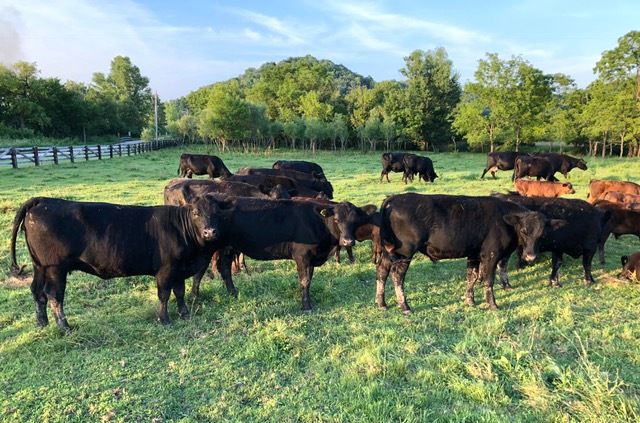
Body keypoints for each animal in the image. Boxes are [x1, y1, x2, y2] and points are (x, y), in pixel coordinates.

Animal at [10, 196, 229, 332]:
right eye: (195, 213)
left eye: (217, 213)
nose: (210, 232)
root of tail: (43, 200)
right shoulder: (166, 270)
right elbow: (164, 295)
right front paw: (164, 319)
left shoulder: (179, 269)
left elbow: (180, 292)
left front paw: (184, 313)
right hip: (55, 268)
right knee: (54, 295)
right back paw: (65, 327)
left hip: (39, 266)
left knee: (37, 292)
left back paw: (42, 323)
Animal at [195, 196, 378, 311]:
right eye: (337, 220)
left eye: (355, 221)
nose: (348, 242)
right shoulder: (302, 256)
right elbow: (304, 280)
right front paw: (306, 306)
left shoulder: (311, 258)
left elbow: (309, 279)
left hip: (229, 247)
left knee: (225, 269)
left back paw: (233, 294)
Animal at [376, 193, 551, 313]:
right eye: (523, 231)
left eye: (542, 234)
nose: (531, 256)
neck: (504, 219)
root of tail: (395, 198)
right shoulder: (491, 255)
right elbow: (488, 280)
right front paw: (492, 304)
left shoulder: (473, 254)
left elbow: (472, 277)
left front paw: (470, 301)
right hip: (404, 253)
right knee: (397, 276)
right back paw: (404, 306)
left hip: (389, 251)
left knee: (382, 272)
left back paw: (381, 303)